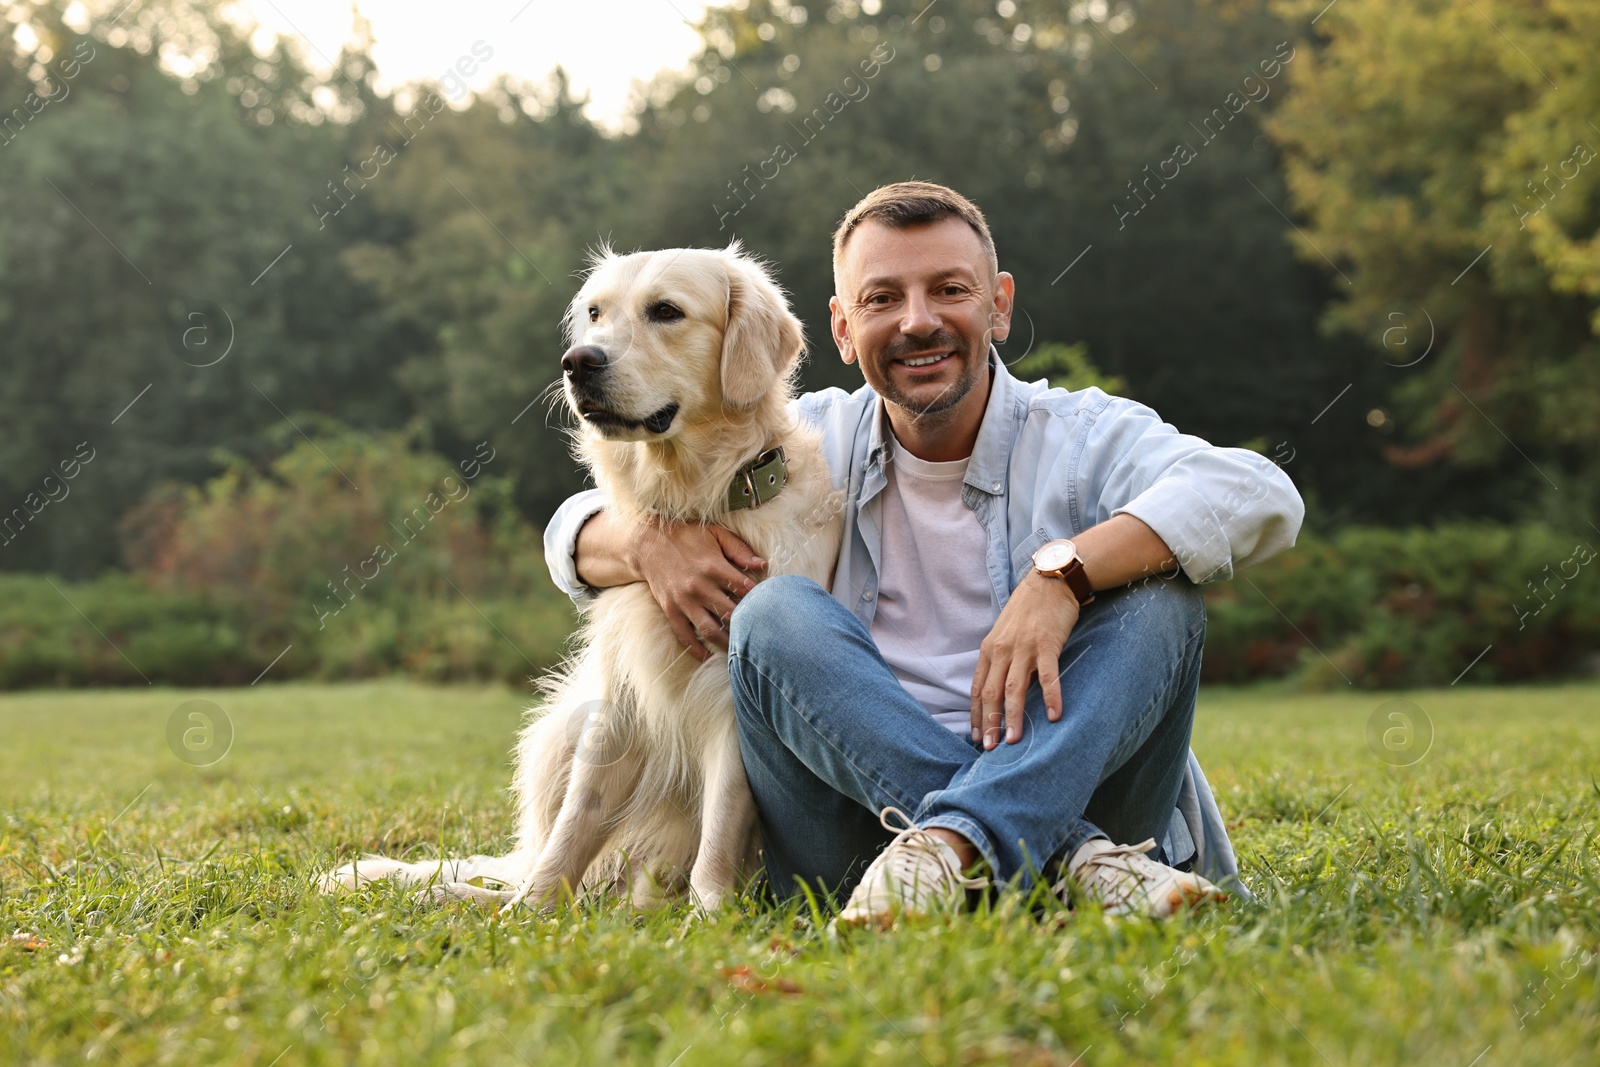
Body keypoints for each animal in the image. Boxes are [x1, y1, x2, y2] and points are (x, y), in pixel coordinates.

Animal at [326, 246, 851, 915]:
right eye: (596, 313)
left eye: (666, 311)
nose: (578, 362)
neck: (694, 503)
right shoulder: (617, 705)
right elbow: (574, 828)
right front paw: (529, 914)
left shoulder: (733, 706)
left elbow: (720, 827)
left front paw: (708, 918)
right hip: (562, 727)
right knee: (524, 861)